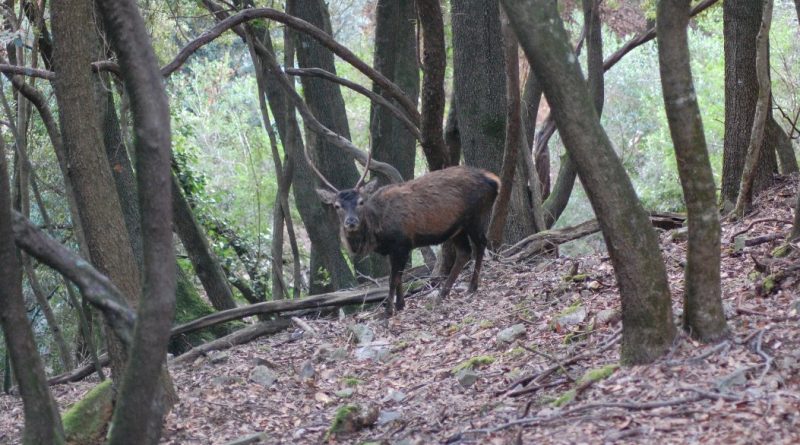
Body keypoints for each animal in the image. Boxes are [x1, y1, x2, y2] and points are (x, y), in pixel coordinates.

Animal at [310, 147, 496, 314]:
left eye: (361, 202)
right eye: (337, 206)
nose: (351, 222)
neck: (377, 231)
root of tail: (494, 180)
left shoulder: (402, 242)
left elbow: (393, 278)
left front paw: (388, 311)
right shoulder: (390, 249)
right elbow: (397, 276)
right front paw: (400, 305)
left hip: (474, 216)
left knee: (481, 243)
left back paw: (472, 286)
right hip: (456, 228)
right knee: (464, 251)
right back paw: (442, 294)